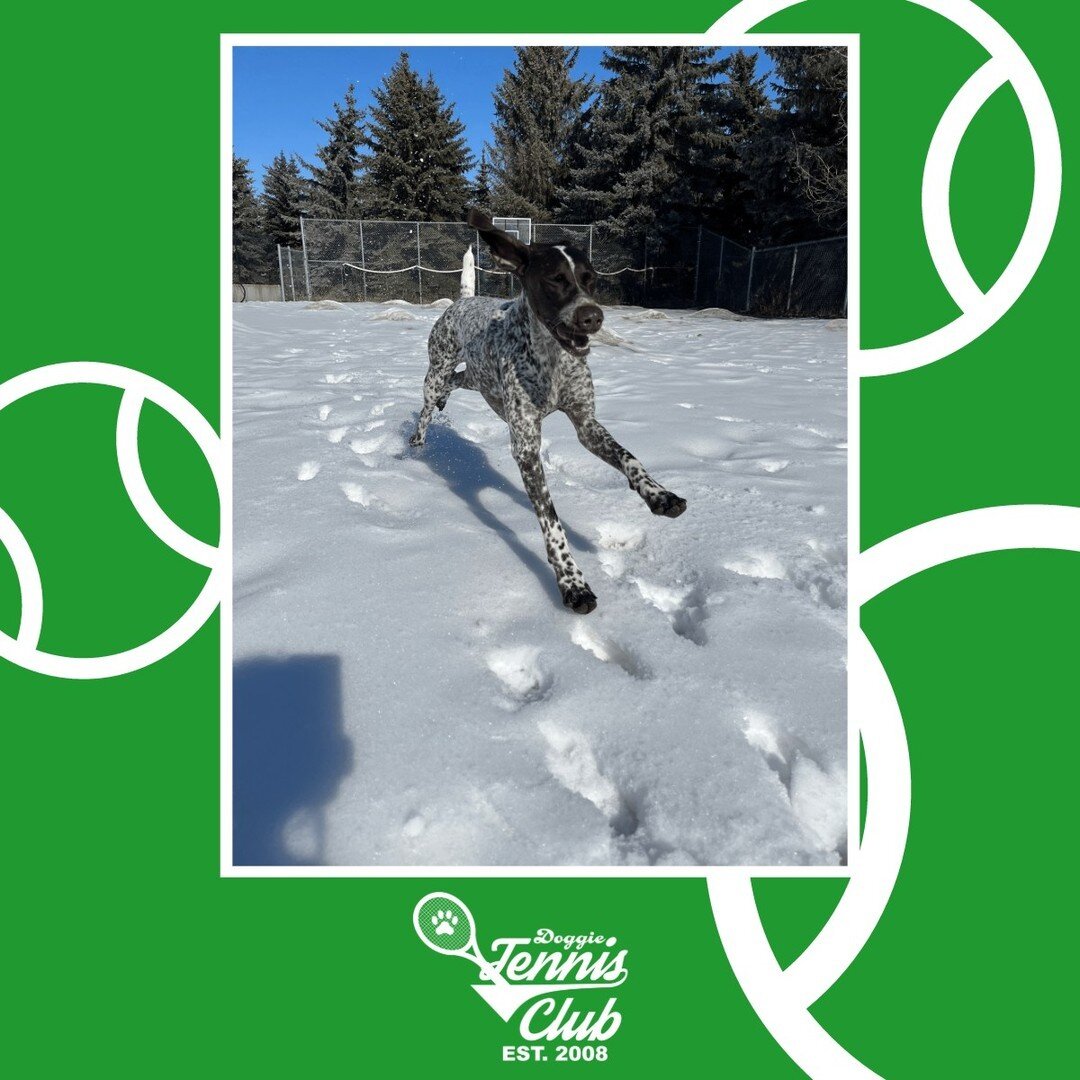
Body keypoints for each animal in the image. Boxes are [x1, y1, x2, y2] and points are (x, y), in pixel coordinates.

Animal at [408, 210, 686, 617]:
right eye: (555, 279)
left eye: (590, 278)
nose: (593, 317)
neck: (551, 359)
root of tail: (462, 302)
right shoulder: (526, 448)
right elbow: (551, 523)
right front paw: (573, 583)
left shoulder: (586, 424)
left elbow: (630, 460)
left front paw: (659, 495)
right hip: (437, 371)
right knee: (428, 406)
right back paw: (415, 443)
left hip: (478, 379)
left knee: (458, 382)